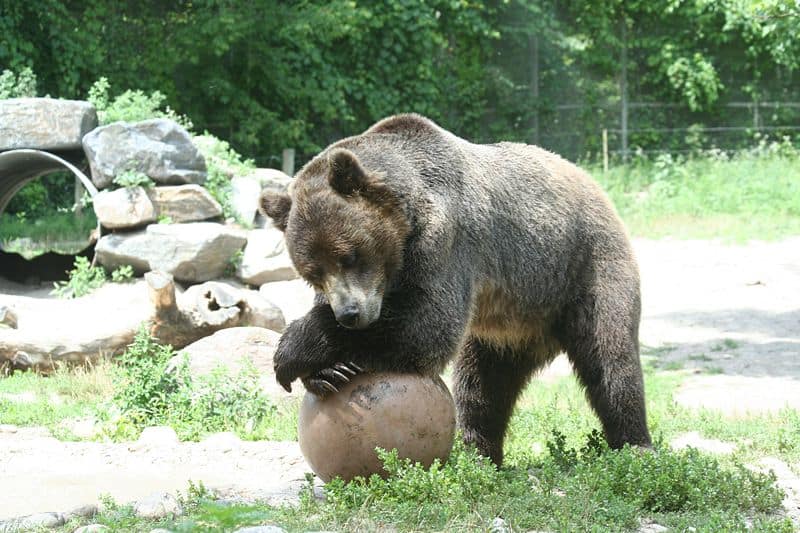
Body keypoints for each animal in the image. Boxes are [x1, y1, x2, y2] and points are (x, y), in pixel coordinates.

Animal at [260, 114, 648, 464]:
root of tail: (592, 183)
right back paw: (478, 454)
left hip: (582, 266)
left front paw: (295, 351)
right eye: (312, 273)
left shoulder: (447, 242)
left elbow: (426, 326)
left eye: (349, 256)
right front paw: (328, 372)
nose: (349, 315)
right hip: (507, 324)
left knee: (611, 361)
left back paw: (635, 446)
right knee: (483, 384)